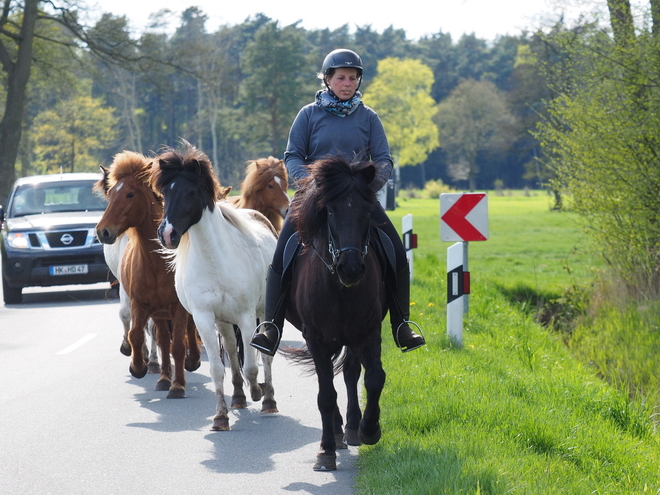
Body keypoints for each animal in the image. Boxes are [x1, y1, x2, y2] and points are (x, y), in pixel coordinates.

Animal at [94, 151, 200, 400]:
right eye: (110, 194)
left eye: (130, 194)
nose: (102, 231)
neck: (156, 263)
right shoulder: (140, 303)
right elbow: (136, 333)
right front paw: (138, 366)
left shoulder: (178, 307)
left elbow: (178, 344)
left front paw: (178, 386)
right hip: (159, 312)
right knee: (161, 339)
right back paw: (162, 378)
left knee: (186, 332)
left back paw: (189, 362)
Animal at [150, 142, 278, 430]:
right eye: (164, 193)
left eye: (190, 192)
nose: (167, 234)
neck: (215, 259)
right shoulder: (205, 320)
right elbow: (218, 369)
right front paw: (221, 417)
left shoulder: (246, 317)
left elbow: (252, 365)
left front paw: (258, 391)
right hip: (223, 322)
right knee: (230, 351)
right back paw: (239, 398)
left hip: (261, 313)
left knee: (264, 357)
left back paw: (268, 401)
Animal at [282, 156, 386, 472]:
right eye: (329, 211)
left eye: (367, 210)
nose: (350, 269)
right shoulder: (316, 338)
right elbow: (326, 395)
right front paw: (326, 451)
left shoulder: (369, 331)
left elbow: (374, 378)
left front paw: (369, 429)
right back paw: (338, 432)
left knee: (351, 373)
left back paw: (351, 428)